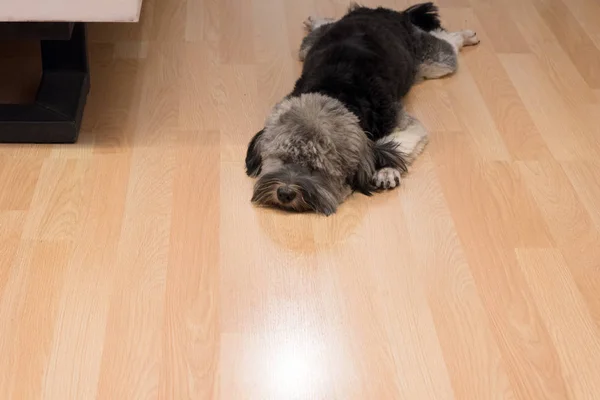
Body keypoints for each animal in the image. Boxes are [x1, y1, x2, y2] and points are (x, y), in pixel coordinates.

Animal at [244, 2, 478, 216]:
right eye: (280, 159)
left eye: (317, 168)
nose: (285, 193)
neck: (335, 93)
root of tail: (385, 11)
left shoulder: (404, 124)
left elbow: (395, 144)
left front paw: (386, 170)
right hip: (308, 47)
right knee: (325, 24)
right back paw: (315, 19)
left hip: (435, 63)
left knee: (448, 43)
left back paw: (467, 35)